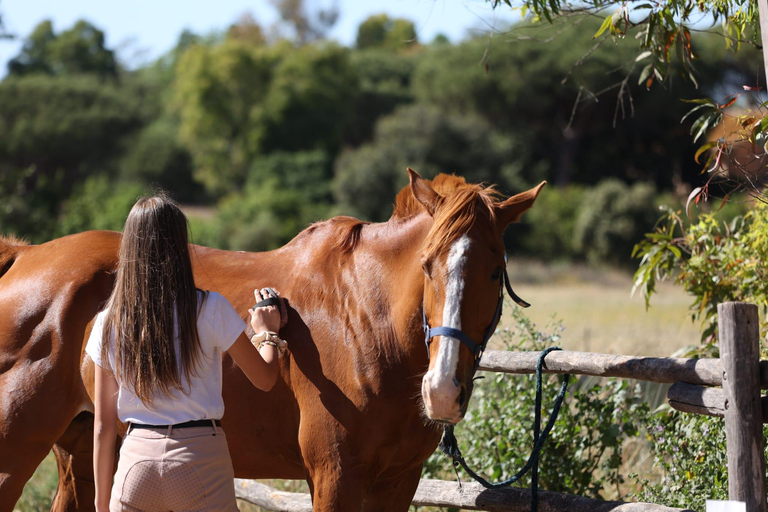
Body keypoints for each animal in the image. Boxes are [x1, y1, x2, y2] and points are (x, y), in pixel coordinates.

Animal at [0, 170, 544, 511]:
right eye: (428, 266)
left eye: (494, 272)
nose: (443, 390)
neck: (367, 319)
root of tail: (22, 257)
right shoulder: (334, 476)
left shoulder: (397, 480)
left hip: (83, 450)